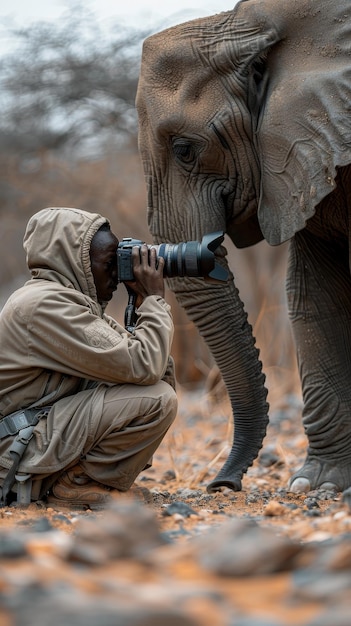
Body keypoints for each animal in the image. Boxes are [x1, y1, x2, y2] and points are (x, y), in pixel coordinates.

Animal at [136, 0, 351, 492]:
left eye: (185, 149)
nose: (221, 484)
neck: (254, 23)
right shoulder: (302, 159)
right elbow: (313, 296)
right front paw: (320, 485)